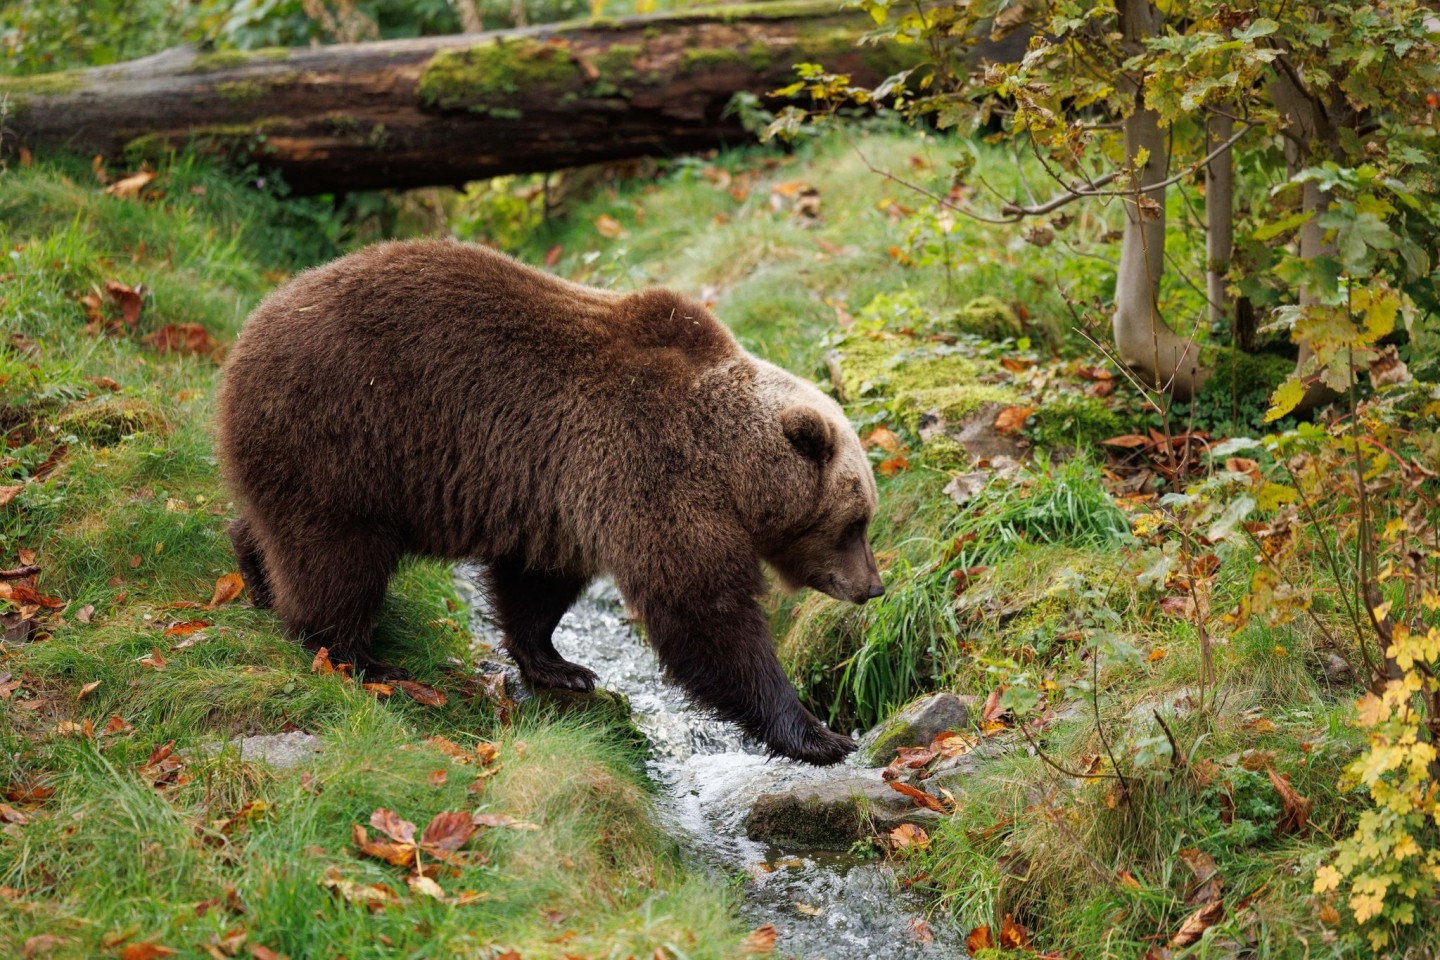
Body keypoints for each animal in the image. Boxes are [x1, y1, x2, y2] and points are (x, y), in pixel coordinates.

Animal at [217, 238, 881, 765]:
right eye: (856, 522)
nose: (873, 587)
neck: (730, 465)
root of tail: (249, 331)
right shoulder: (653, 468)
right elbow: (704, 611)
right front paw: (817, 733)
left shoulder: (563, 492)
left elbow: (537, 584)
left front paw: (563, 666)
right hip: (347, 434)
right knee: (337, 556)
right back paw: (361, 658)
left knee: (278, 528)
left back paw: (255, 573)